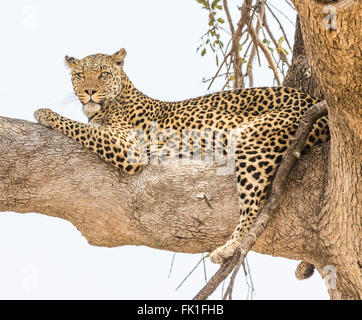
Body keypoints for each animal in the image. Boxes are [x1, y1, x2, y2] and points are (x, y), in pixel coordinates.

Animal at [34, 48, 330, 266]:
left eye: (102, 74)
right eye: (80, 75)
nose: (90, 91)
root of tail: (318, 106)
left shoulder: (129, 147)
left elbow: (82, 128)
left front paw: (44, 113)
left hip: (252, 140)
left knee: (254, 206)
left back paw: (228, 248)